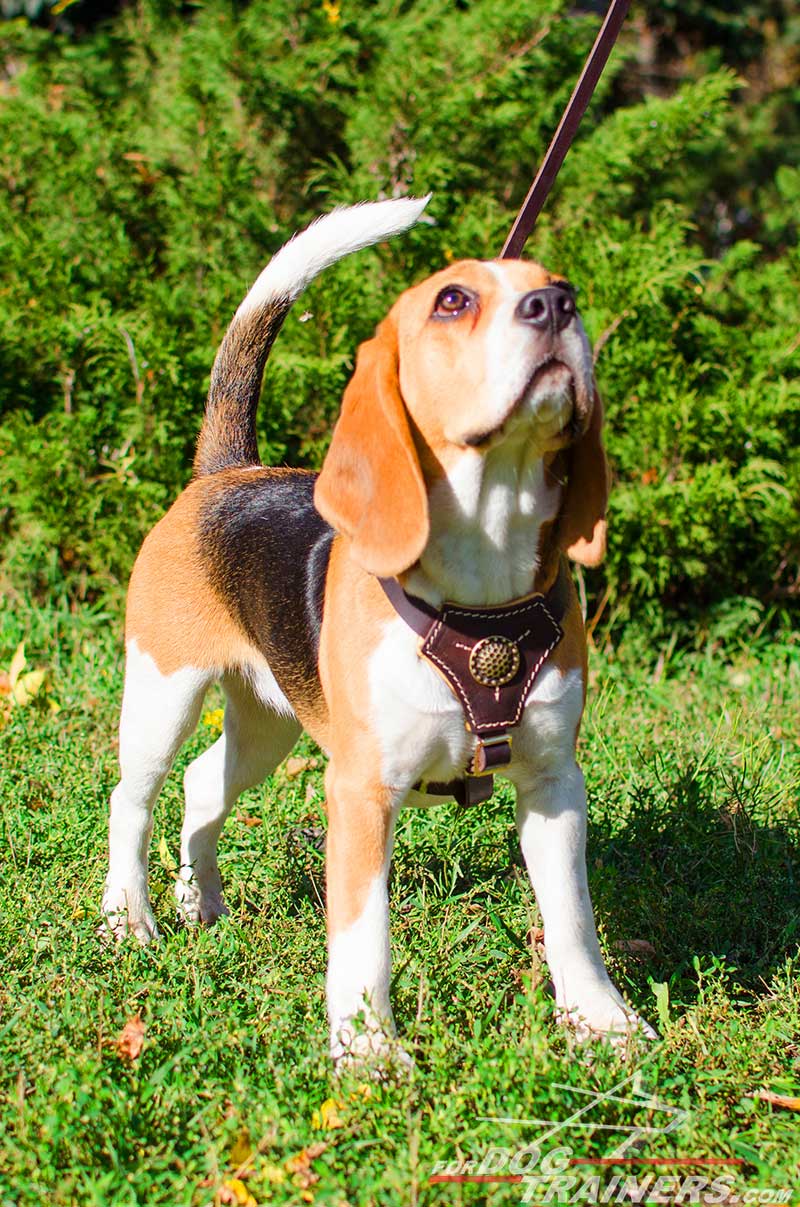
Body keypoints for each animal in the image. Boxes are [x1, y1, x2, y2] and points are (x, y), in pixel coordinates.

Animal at [103, 195, 656, 1057]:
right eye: (453, 300)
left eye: (564, 286)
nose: (554, 307)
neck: (479, 594)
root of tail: (228, 471)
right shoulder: (360, 790)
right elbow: (365, 933)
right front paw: (368, 1051)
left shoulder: (555, 779)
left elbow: (573, 917)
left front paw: (600, 1020)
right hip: (163, 690)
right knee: (132, 796)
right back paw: (128, 918)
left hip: (269, 723)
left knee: (202, 784)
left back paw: (203, 903)